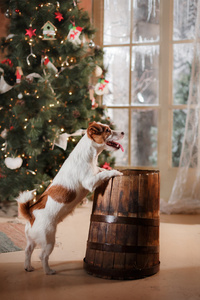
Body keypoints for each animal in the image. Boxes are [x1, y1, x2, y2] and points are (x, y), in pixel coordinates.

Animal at [16, 121, 124, 274]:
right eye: (108, 130)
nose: (123, 132)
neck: (89, 154)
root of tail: (31, 215)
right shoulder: (89, 182)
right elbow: (103, 174)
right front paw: (115, 171)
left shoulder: (95, 172)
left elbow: (100, 170)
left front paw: (108, 169)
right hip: (49, 240)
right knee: (42, 256)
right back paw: (48, 271)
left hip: (31, 240)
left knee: (28, 251)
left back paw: (28, 267)